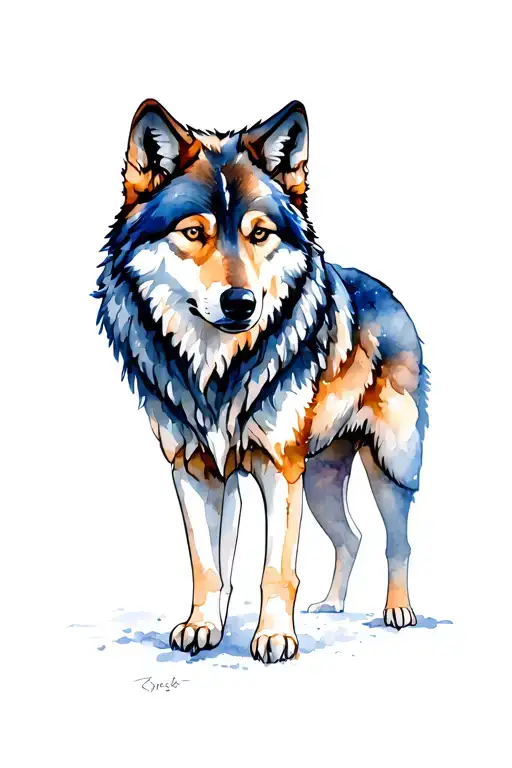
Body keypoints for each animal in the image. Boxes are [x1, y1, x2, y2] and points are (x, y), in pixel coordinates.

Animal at [94, 99, 428, 663]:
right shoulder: (196, 470)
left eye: (259, 234)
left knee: (397, 540)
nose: (241, 303)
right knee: (352, 536)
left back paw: (399, 611)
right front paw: (202, 628)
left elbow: (277, 570)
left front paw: (274, 637)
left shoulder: (278, 469)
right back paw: (331, 605)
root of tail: (387, 293)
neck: (218, 371)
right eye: (193, 233)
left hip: (386, 467)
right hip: (318, 482)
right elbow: (208, 567)